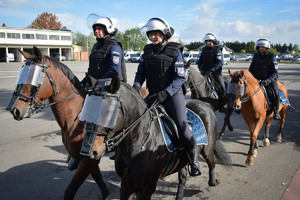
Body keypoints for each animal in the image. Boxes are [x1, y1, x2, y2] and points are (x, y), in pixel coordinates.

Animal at [6, 46, 109, 198]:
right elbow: (101, 184)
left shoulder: (88, 160)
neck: (78, 116)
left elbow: (70, 191)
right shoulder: (89, 159)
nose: (15, 110)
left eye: (34, 78)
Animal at [84, 76, 232, 199]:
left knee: (211, 162)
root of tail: (206, 105)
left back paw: (212, 180)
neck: (140, 141)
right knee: (183, 176)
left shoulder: (145, 189)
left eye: (109, 110)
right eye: (88, 106)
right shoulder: (126, 184)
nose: (89, 151)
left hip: (207, 149)